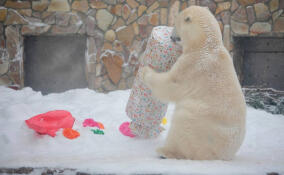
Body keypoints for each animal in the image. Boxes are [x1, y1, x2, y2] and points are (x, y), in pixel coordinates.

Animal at [141, 5, 246, 160]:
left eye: (176, 24)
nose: (171, 37)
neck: (206, 44)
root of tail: (223, 155)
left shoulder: (193, 65)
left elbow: (172, 84)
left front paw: (145, 72)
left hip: (201, 124)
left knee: (183, 123)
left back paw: (165, 151)